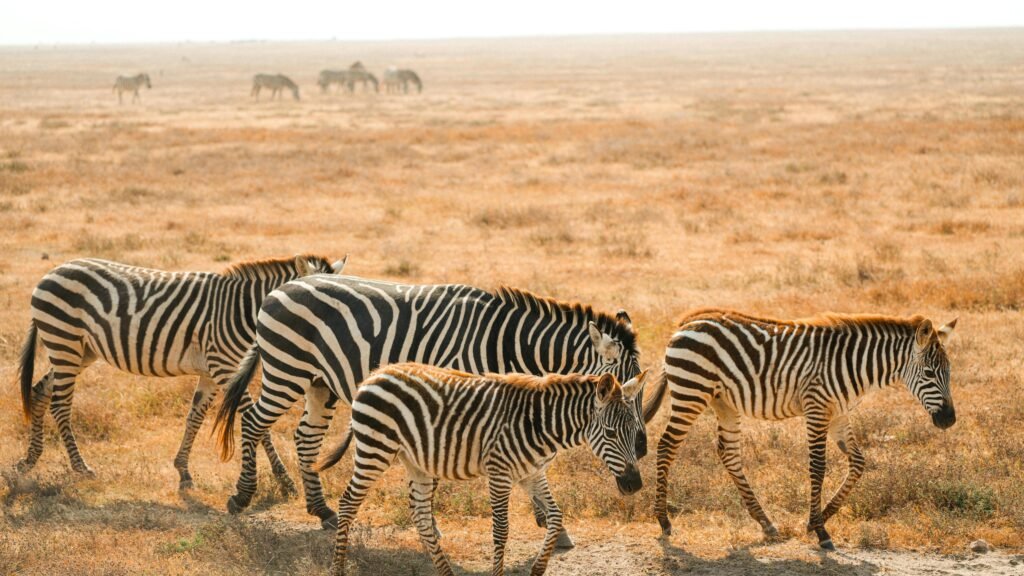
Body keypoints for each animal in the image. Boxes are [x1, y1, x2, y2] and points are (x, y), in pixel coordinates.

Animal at [15, 254, 347, 490]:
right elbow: (256, 422)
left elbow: (194, 418)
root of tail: (53, 270)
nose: (333, 344)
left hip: (79, 350)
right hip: (65, 343)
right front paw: (284, 479)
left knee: (40, 391)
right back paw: (80, 467)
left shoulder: (212, 372)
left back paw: (29, 460)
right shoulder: (225, 368)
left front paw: (183, 471)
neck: (244, 310)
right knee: (60, 405)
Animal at [213, 275, 649, 549]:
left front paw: (552, 527)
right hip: (286, 370)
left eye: (637, 389)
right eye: (620, 389)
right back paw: (241, 497)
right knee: (253, 421)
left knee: (306, 438)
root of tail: (284, 285)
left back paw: (322, 510)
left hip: (320, 382)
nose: (643, 448)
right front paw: (433, 526)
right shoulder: (452, 400)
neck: (505, 345)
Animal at [318, 363, 650, 576]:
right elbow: (501, 530)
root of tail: (375, 374)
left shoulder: (533, 474)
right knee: (348, 503)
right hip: (375, 449)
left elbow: (556, 518)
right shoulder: (499, 473)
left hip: (415, 461)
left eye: (635, 430)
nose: (634, 485)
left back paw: (446, 572)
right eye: (609, 433)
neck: (541, 425)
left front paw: (537, 570)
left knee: (420, 515)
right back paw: (337, 569)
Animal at [649, 309, 957, 550]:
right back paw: (663, 521)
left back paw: (765, 523)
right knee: (666, 446)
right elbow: (818, 467)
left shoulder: (839, 413)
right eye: (929, 373)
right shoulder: (817, 408)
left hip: (722, 401)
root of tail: (687, 322)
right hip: (691, 392)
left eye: (949, 372)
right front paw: (820, 530)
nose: (950, 420)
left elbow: (859, 462)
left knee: (729, 454)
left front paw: (820, 518)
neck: (854, 364)